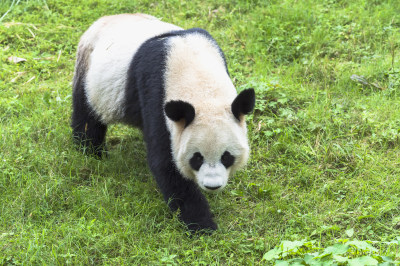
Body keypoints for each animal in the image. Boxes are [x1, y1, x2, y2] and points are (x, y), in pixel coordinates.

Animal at [70, 13, 255, 232]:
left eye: (226, 157)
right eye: (197, 158)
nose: (212, 185)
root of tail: (101, 21)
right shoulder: (155, 92)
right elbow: (166, 163)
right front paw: (202, 224)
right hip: (90, 72)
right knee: (87, 114)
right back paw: (92, 151)